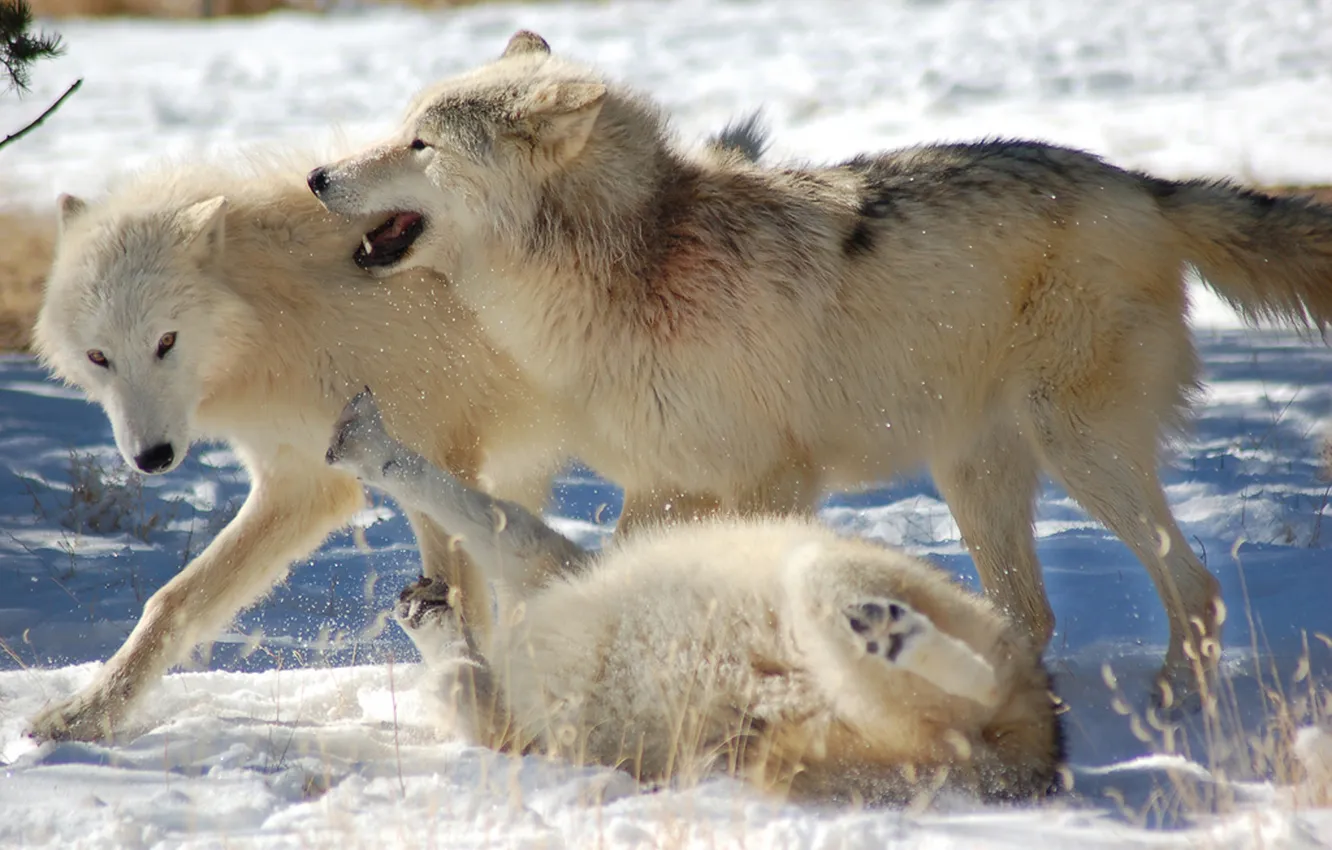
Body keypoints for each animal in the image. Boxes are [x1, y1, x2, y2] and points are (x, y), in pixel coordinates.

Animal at [308, 30, 1332, 699]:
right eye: (399, 128)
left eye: (420, 142)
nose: (318, 177)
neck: (638, 261)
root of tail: (1146, 187)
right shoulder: (661, 483)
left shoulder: (775, 478)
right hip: (976, 475)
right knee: (1034, 615)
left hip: (1079, 451)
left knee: (1195, 593)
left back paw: (1167, 715)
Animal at [325, 388, 1064, 804]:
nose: (412, 593)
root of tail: (1038, 755)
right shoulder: (519, 731)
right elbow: (456, 674)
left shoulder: (542, 564)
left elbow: (455, 495)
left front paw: (364, 443)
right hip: (828, 740)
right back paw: (887, 640)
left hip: (819, 573)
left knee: (938, 661)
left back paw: (887, 631)